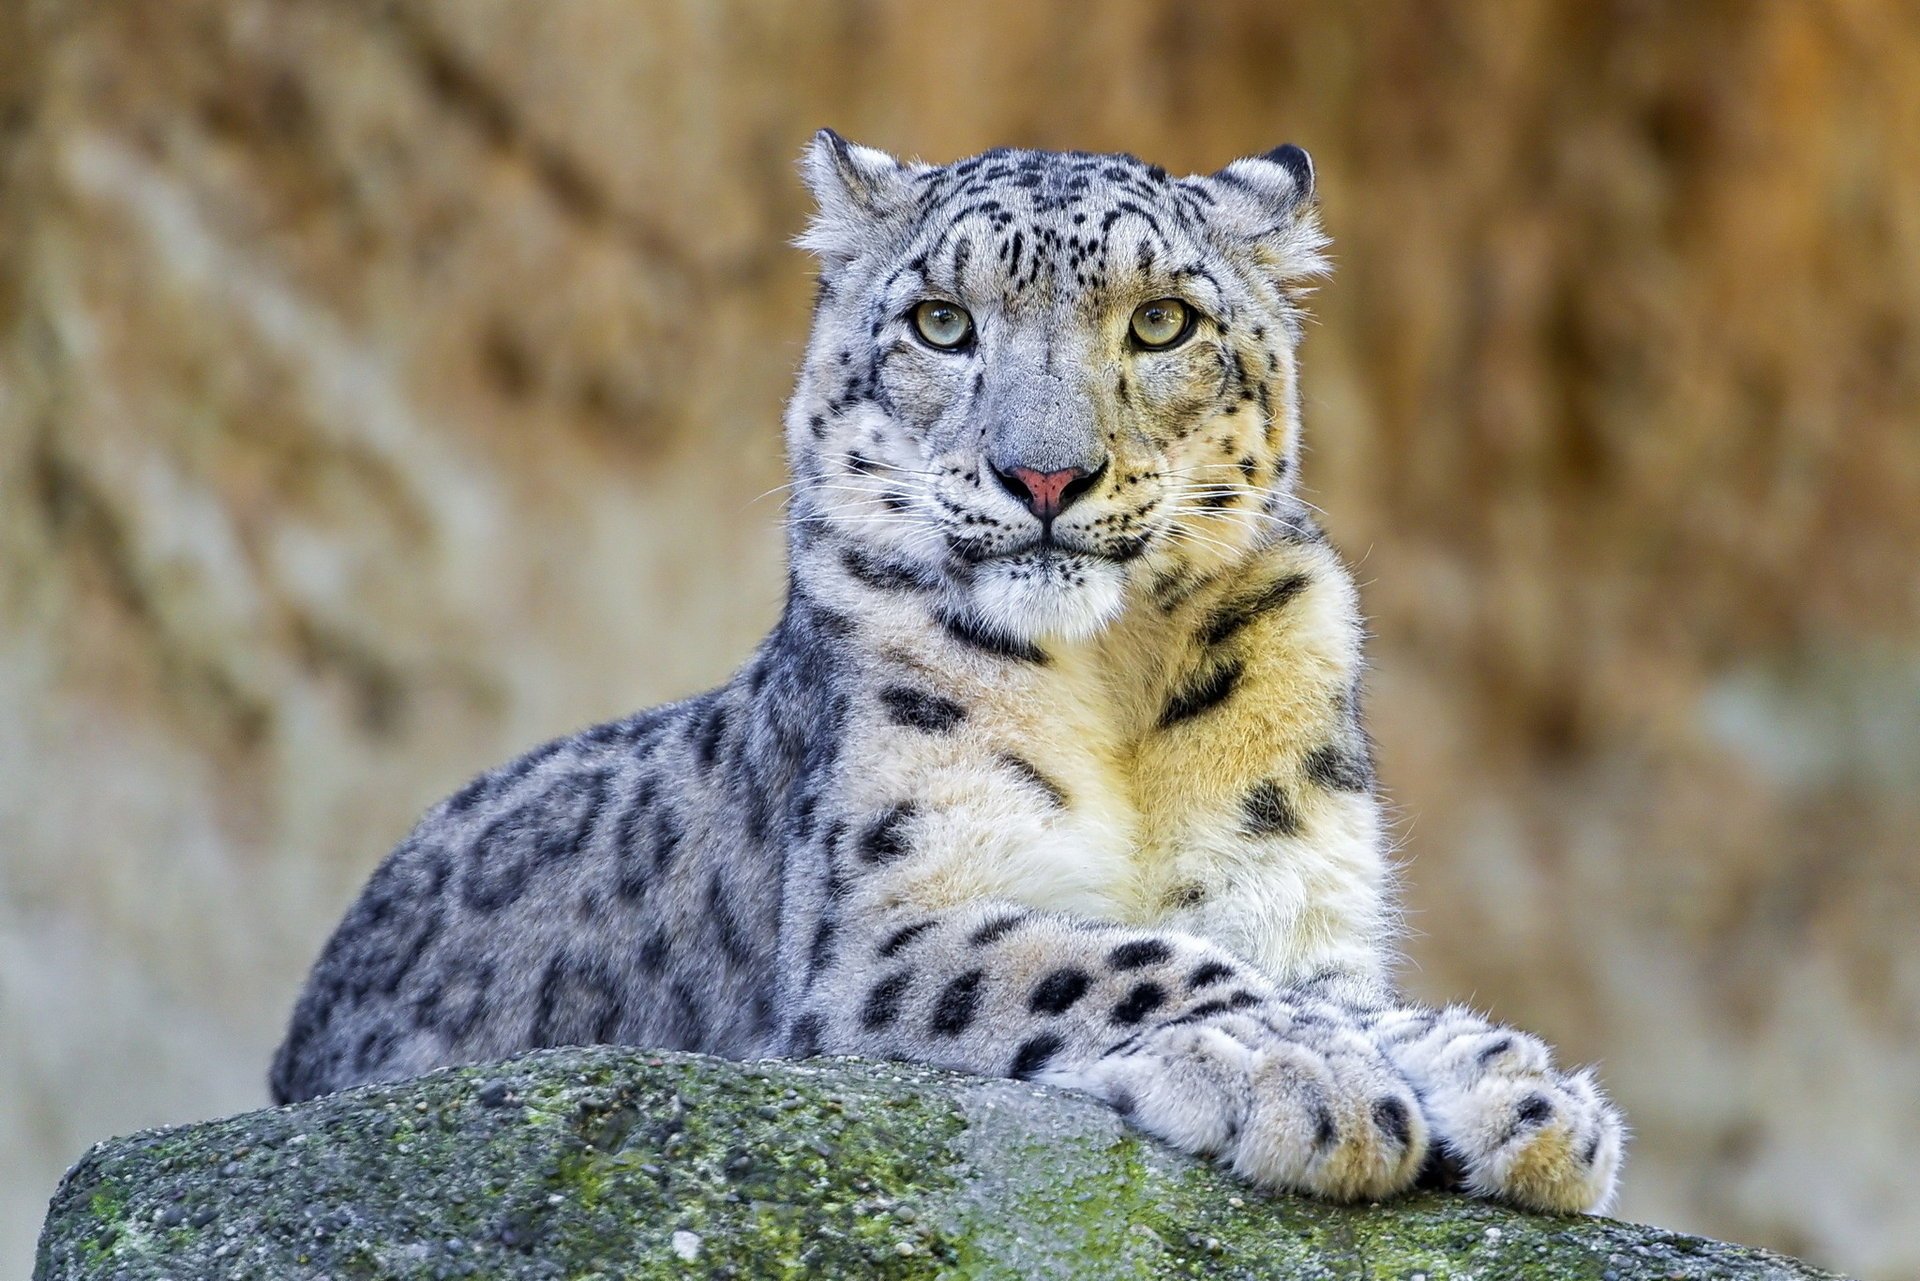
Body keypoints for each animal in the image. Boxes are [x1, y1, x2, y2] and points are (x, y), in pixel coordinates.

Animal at [271, 131, 1625, 1214]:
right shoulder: (879, 928)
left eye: (1162, 321)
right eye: (940, 322)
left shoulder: (1293, 901)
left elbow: (1331, 988)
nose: (1044, 475)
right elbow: (1120, 957)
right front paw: (1304, 1076)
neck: (1118, 682)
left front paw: (1519, 1090)